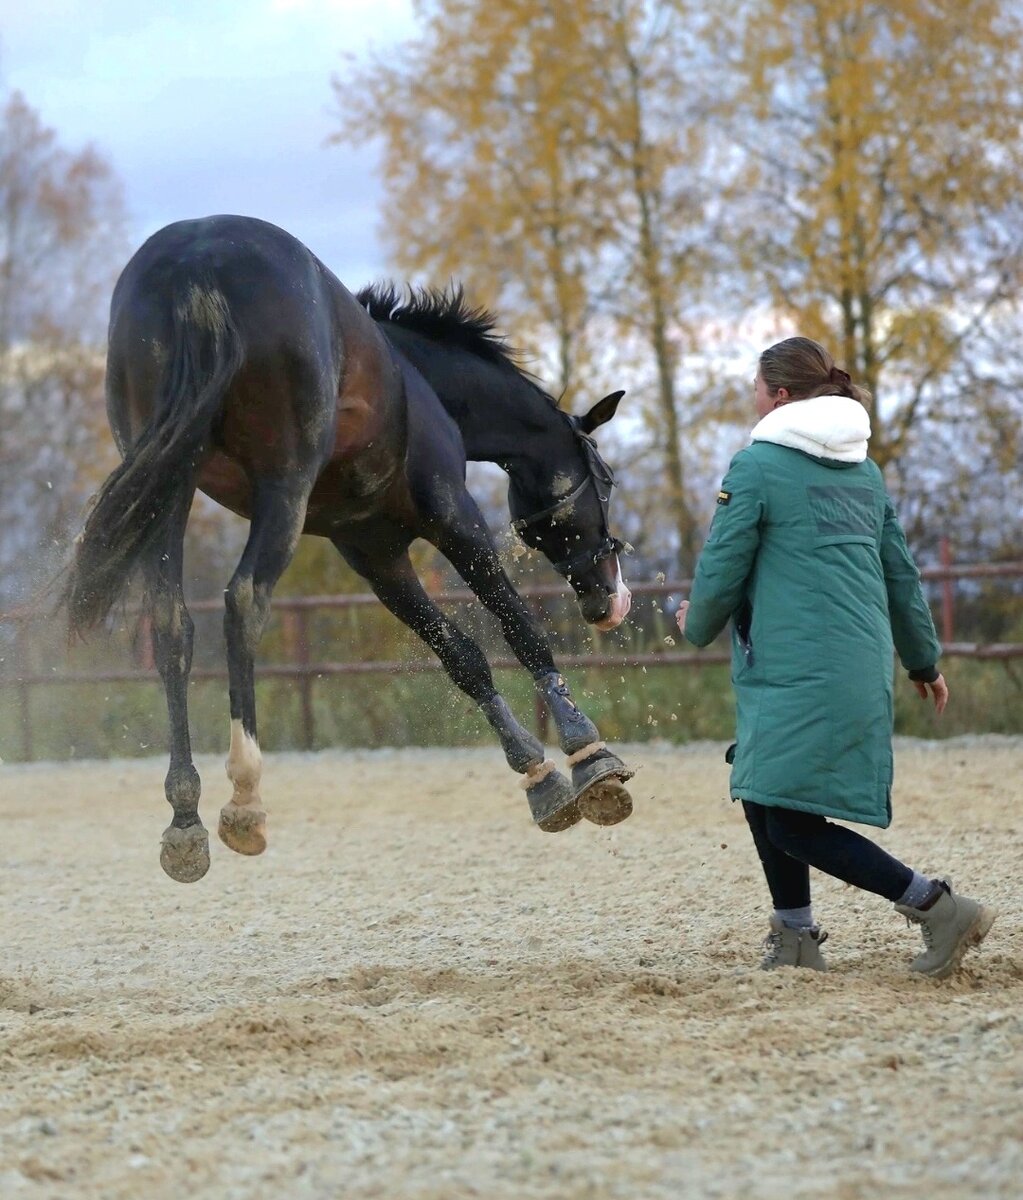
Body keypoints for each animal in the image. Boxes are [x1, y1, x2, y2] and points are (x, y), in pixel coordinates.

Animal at [61, 213, 629, 883]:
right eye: (605, 480)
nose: (609, 600)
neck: (416, 378)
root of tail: (195, 260)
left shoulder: (377, 558)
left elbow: (462, 657)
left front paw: (538, 777)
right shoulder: (453, 518)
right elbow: (520, 626)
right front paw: (588, 754)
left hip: (168, 492)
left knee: (172, 624)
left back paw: (185, 819)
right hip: (282, 486)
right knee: (243, 602)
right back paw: (245, 799)